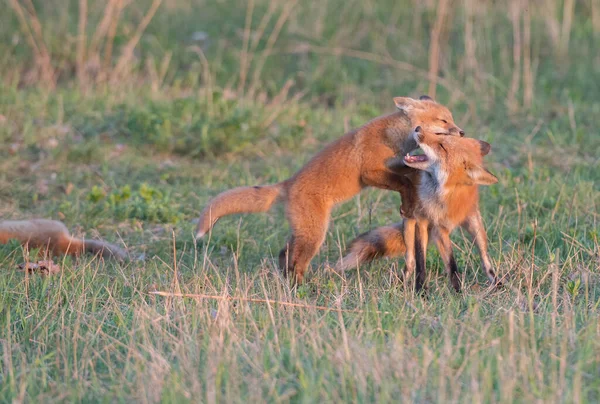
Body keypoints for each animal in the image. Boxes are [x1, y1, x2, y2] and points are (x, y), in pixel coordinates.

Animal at [195, 96, 466, 282]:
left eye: (451, 119)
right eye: (444, 121)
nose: (462, 132)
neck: (393, 136)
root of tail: (289, 183)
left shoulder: (397, 164)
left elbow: (408, 177)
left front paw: (408, 203)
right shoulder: (370, 172)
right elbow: (404, 183)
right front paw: (408, 201)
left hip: (304, 231)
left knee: (285, 253)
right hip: (314, 234)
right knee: (296, 262)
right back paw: (300, 288)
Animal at [336, 125, 500, 290]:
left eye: (442, 146)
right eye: (440, 135)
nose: (418, 128)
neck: (443, 197)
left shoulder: (454, 224)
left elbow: (462, 262)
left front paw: (460, 291)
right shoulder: (428, 224)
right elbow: (427, 262)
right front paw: (423, 290)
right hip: (410, 226)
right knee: (411, 261)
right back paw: (404, 284)